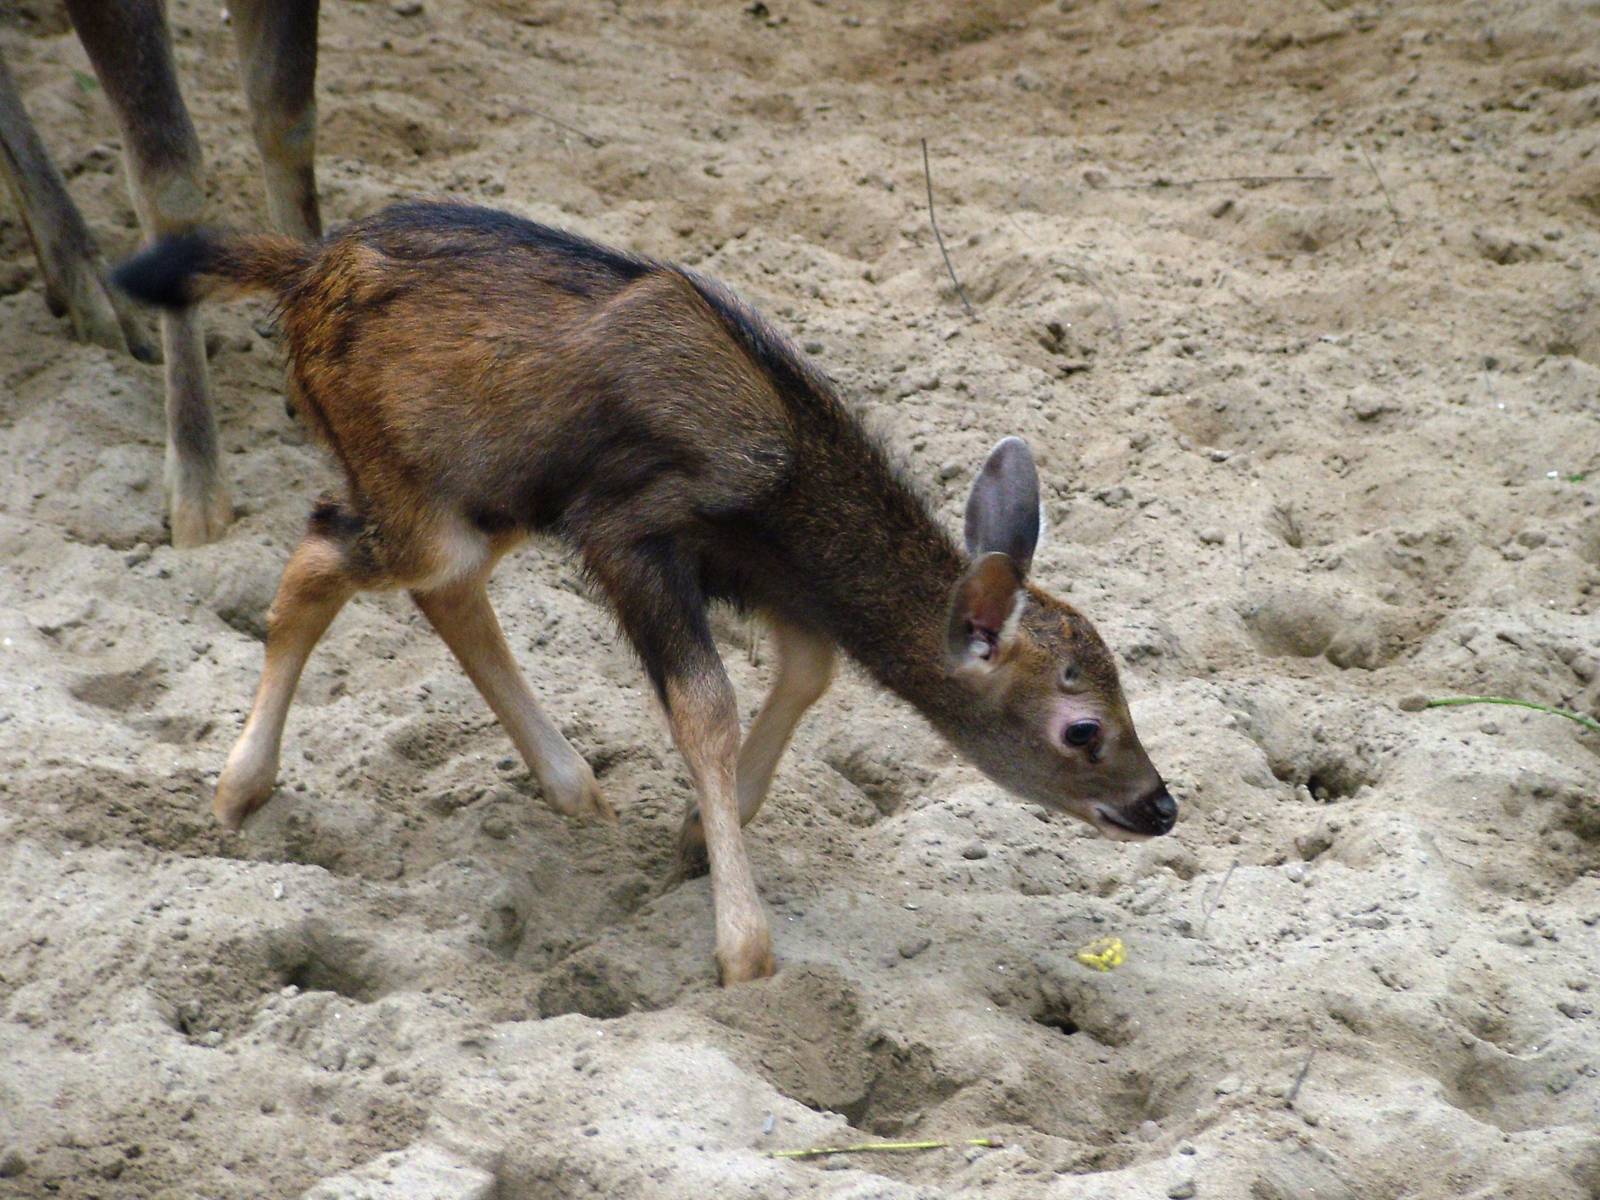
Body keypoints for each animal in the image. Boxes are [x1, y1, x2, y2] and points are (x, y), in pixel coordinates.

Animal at [111, 199, 1179, 985]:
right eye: (1081, 728)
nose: (1161, 805)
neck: (782, 496)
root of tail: (300, 272)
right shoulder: (633, 531)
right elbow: (705, 705)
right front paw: (743, 947)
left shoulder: (753, 572)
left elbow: (810, 667)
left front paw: (696, 837)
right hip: (413, 484)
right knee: (323, 551)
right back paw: (238, 787)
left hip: (493, 491)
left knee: (438, 589)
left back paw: (575, 788)